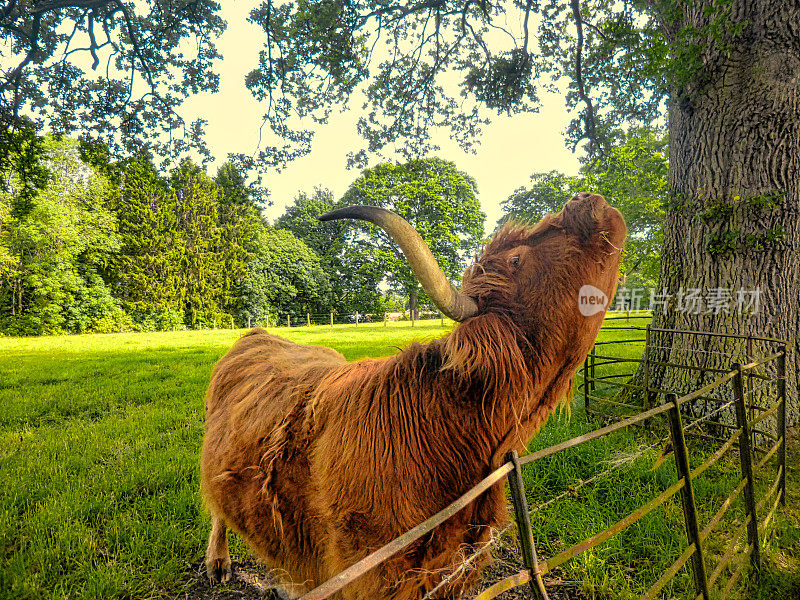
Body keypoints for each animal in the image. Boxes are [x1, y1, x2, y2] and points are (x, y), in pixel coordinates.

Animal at [200, 193, 624, 600]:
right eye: (516, 259)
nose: (584, 198)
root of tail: (257, 334)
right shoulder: (365, 570)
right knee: (216, 507)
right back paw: (218, 563)